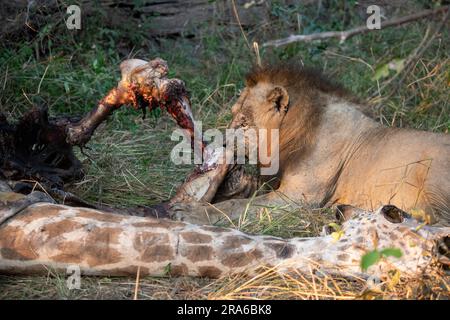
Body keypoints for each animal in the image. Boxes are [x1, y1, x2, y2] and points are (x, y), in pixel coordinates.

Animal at [170, 62, 450, 226]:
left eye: (243, 122)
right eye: (233, 114)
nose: (222, 145)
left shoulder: (298, 198)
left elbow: (238, 206)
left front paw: (190, 213)